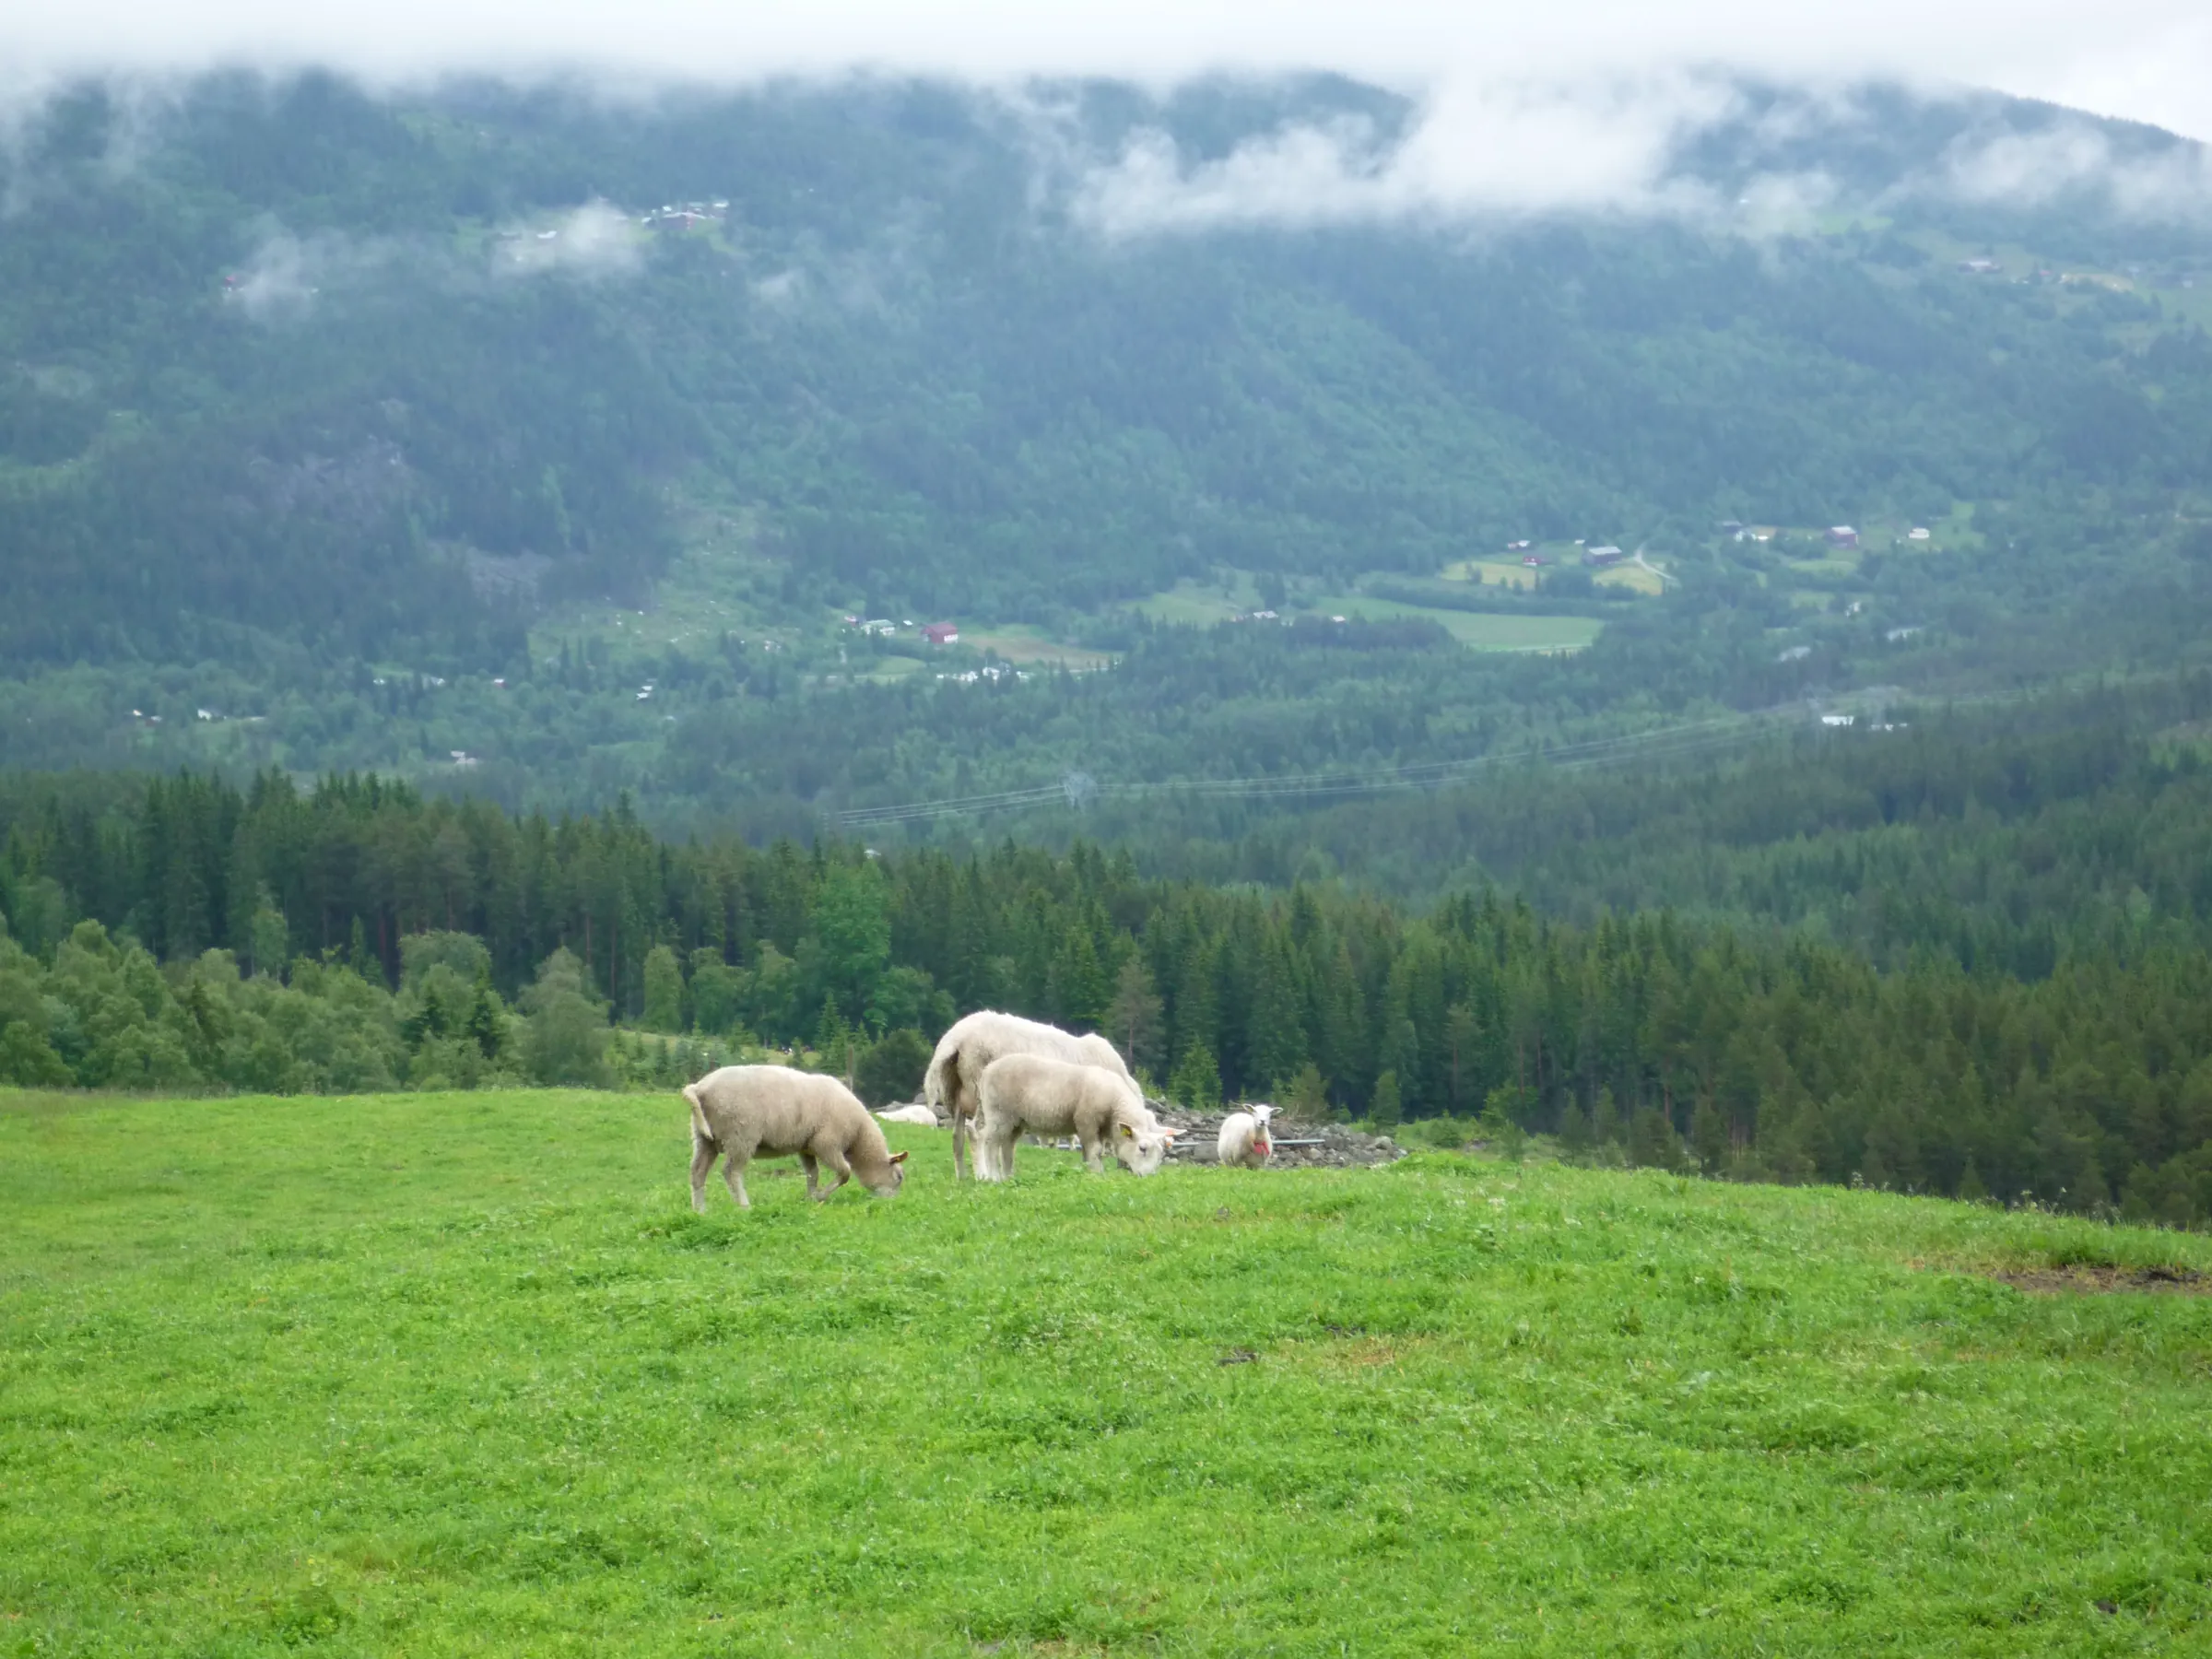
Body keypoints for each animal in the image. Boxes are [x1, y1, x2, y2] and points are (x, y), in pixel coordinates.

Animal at [685, 1065, 908, 1211]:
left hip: (704, 1138)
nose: (892, 1203)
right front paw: (820, 1196)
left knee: (697, 1172)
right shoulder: (826, 1144)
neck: (858, 1136)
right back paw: (744, 1206)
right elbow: (845, 1172)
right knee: (731, 1172)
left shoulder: (806, 1147)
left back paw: (700, 1210)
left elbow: (812, 1174)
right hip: (740, 1136)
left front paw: (810, 1198)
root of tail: (700, 1088)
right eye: (899, 1177)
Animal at [923, 1010, 1135, 1179]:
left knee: (957, 1136)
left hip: (955, 1091)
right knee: (976, 1131)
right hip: (982, 1090)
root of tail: (955, 1037)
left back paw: (962, 1177)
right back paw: (982, 1174)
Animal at [974, 1051, 1174, 1182]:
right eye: (1142, 1148)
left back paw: (1008, 1177)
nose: (1148, 1177)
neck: (1114, 1105)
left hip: (1016, 1121)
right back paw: (993, 1177)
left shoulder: (1097, 1129)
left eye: (1161, 1153)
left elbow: (1089, 1151)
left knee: (1008, 1145)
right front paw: (1098, 1174)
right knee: (991, 1142)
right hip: (999, 1113)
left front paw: (1088, 1172)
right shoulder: (1087, 1121)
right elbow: (1095, 1150)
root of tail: (987, 1070)